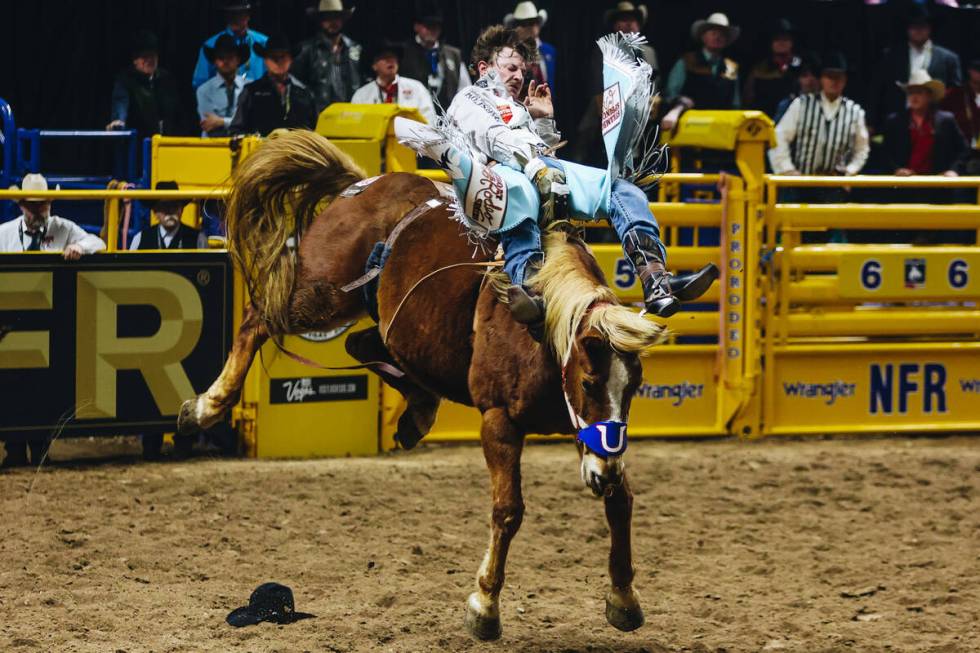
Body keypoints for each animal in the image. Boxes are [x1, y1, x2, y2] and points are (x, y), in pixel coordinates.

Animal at [176, 130, 668, 640]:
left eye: (633, 389)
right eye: (590, 382)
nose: (603, 473)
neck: (542, 324)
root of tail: (363, 184)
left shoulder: (588, 434)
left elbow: (620, 501)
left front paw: (624, 598)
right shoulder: (500, 422)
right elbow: (508, 510)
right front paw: (484, 605)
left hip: (383, 317)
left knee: (361, 343)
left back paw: (418, 411)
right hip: (321, 294)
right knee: (258, 319)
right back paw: (206, 406)